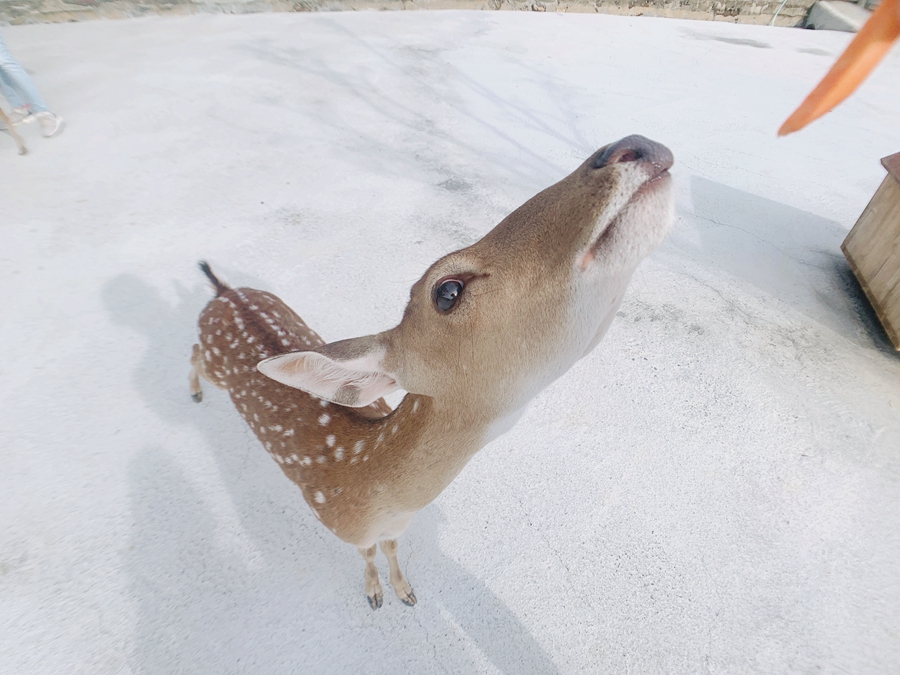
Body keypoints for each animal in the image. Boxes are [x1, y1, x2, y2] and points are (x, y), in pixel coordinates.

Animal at [193, 135, 676, 608]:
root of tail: (225, 292)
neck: (370, 488)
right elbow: (367, 554)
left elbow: (390, 548)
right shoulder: (339, 526)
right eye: (447, 291)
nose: (630, 144)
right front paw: (375, 594)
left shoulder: (396, 526)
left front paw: (405, 591)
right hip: (213, 360)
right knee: (196, 352)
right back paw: (194, 392)